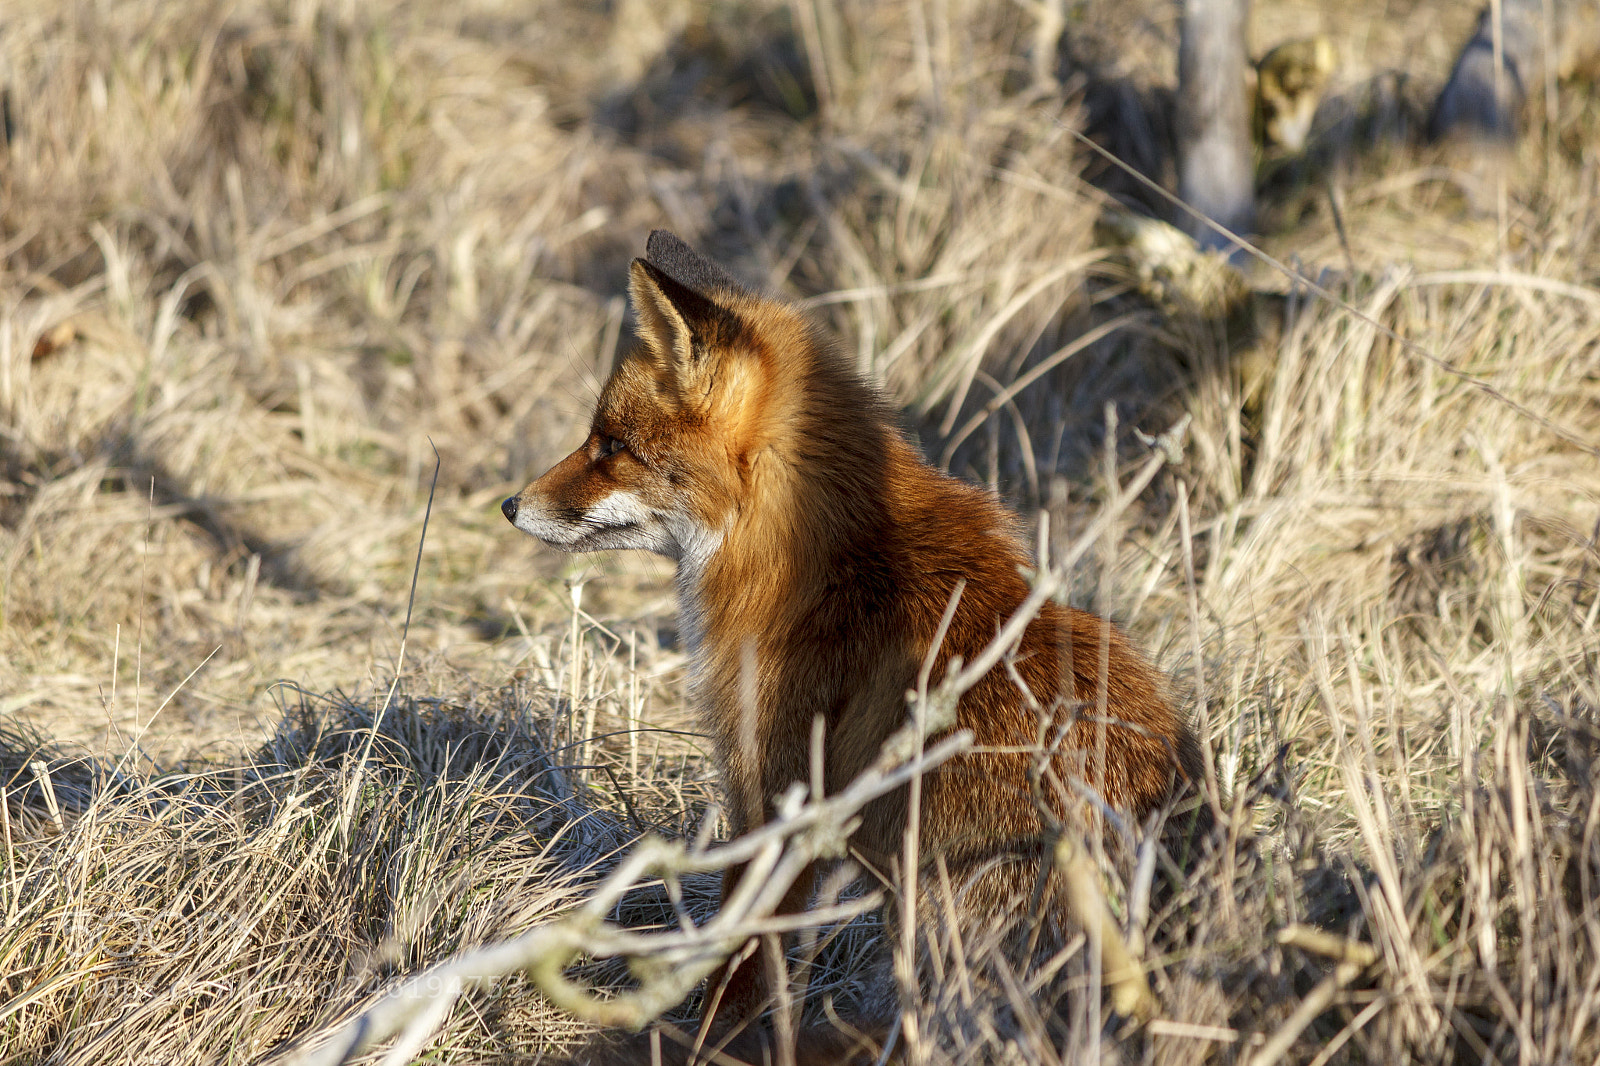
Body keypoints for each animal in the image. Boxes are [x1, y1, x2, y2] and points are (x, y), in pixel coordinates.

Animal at [502, 231, 1206, 1062]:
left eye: (611, 445)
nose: (509, 505)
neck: (819, 557)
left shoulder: (776, 796)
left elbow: (742, 963)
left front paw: (707, 1041)